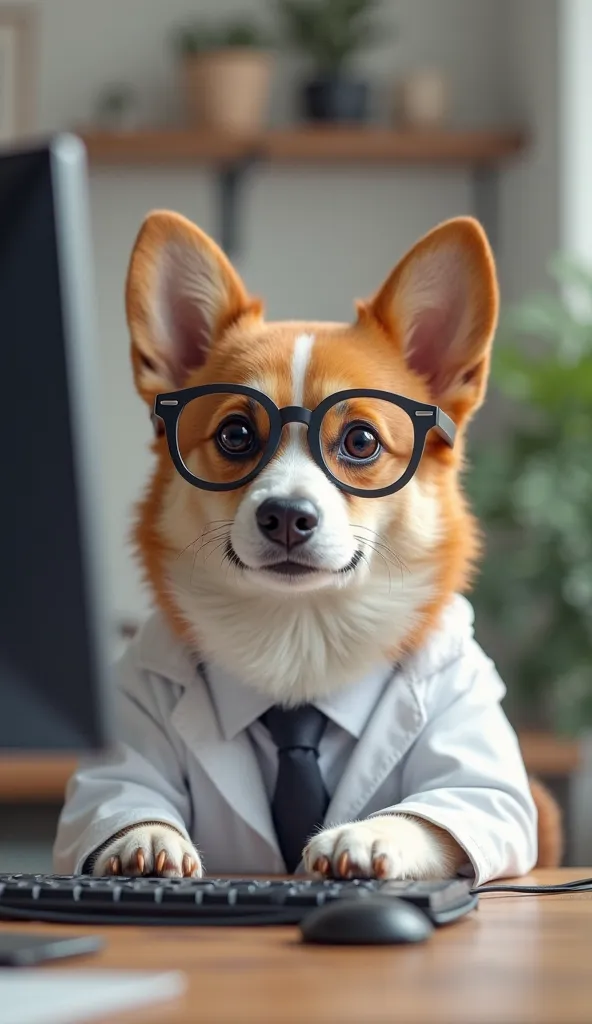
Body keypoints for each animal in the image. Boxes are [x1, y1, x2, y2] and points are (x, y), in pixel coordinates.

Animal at [54, 209, 557, 880]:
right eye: (236, 434)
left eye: (362, 440)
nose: (287, 516)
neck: (301, 634)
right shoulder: (131, 714)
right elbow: (120, 795)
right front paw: (146, 839)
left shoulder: (477, 752)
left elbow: (453, 805)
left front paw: (368, 835)